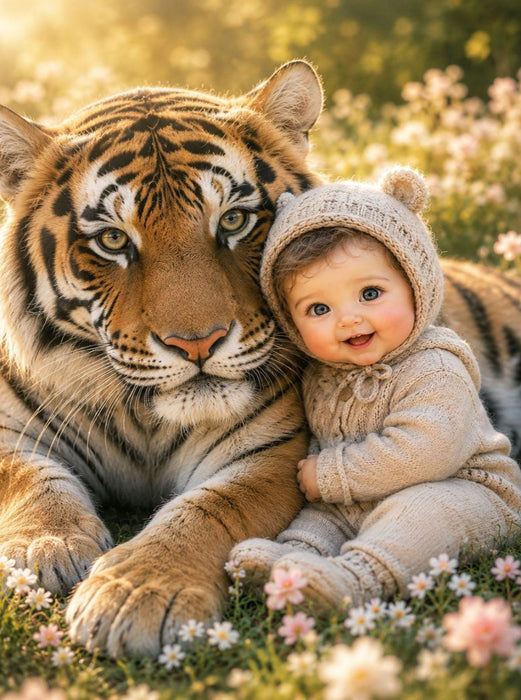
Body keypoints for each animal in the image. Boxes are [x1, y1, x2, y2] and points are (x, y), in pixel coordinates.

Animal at [0, 60, 519, 659]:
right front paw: (48, 546)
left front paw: (138, 593)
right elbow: (28, 478)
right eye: (112, 240)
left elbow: (212, 509)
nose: (197, 344)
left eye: (232, 222)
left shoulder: (274, 449)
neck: (146, 418)